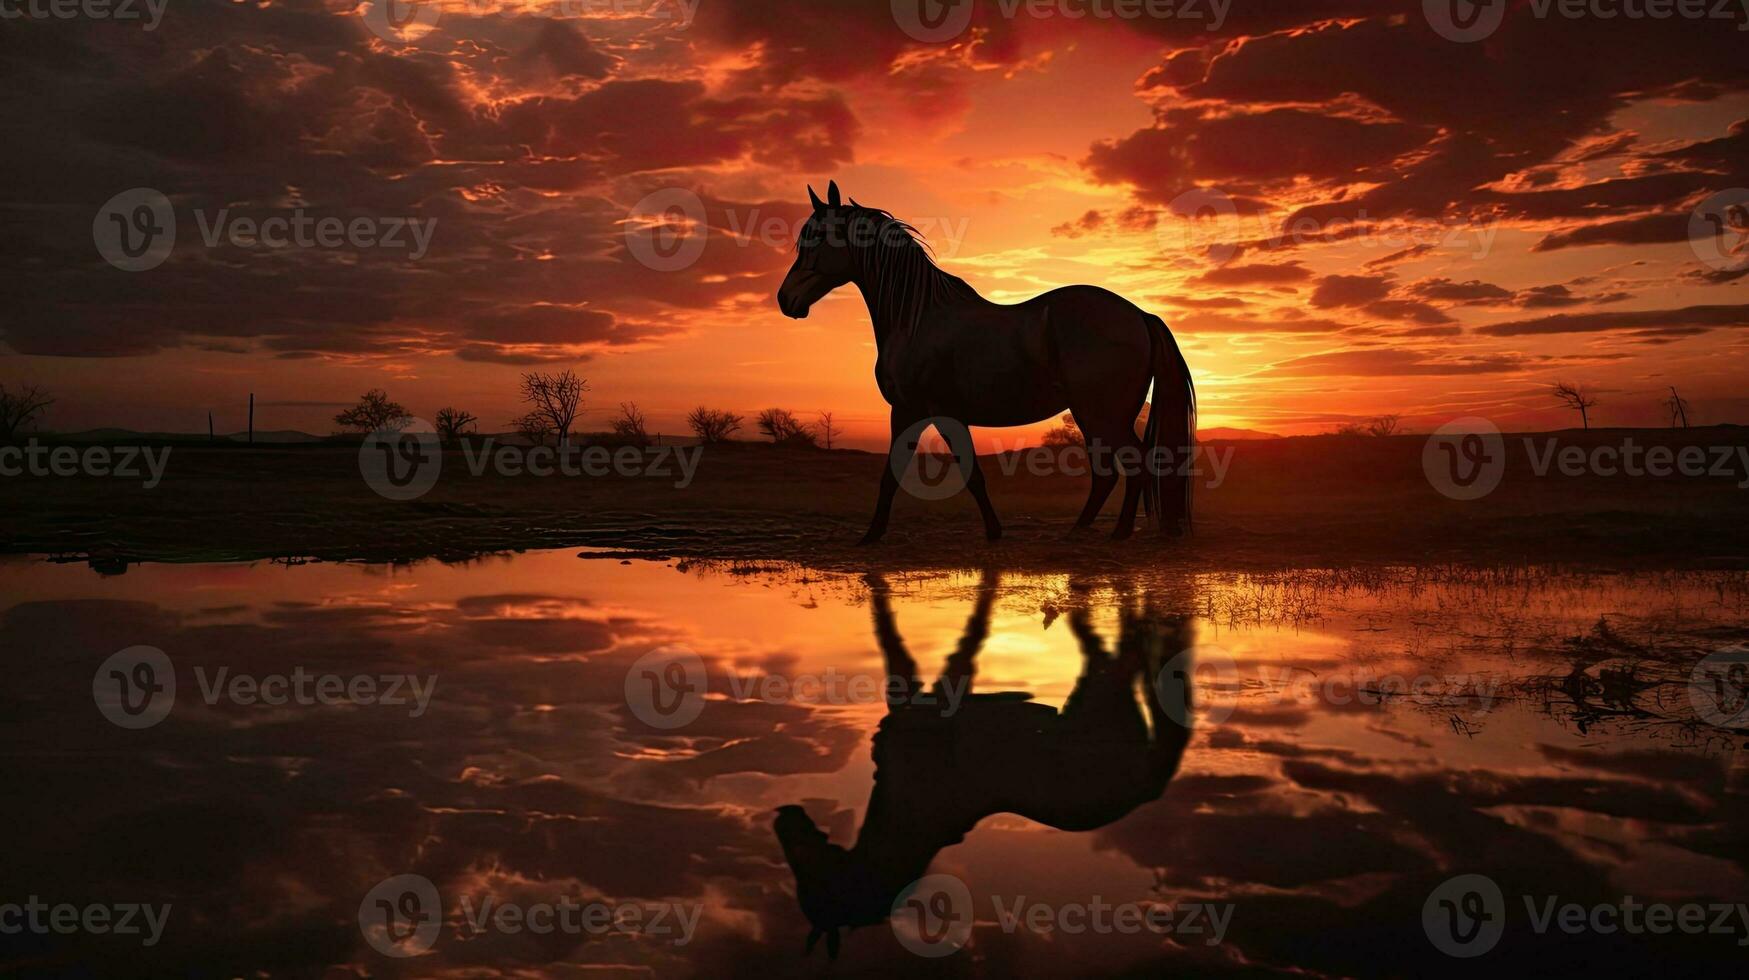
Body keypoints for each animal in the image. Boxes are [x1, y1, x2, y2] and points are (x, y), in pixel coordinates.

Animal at [776, 570, 1196, 959]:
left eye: (811, 881)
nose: (782, 819)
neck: (909, 813)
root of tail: (1149, 788)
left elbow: (966, 632)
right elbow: (894, 635)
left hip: (1104, 690)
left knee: (1131, 645)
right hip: (1099, 687)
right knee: (1120, 641)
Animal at [783, 180, 1203, 539]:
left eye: (815, 237)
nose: (785, 300)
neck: (917, 318)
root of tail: (1140, 316)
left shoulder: (927, 411)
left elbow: (959, 474)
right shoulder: (915, 412)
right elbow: (900, 474)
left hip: (1102, 414)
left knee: (1134, 462)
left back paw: (1118, 533)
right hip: (1093, 415)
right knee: (1109, 473)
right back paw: (1080, 530)